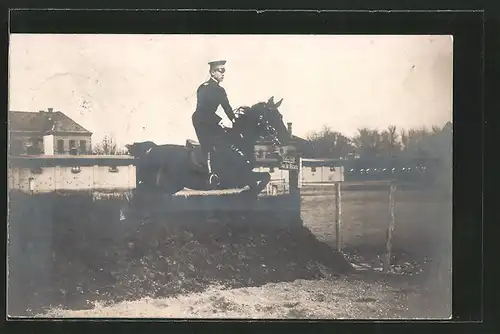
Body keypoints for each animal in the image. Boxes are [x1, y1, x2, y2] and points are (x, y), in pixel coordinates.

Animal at [124, 95, 290, 197]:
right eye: (273, 117)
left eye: (281, 116)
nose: (286, 138)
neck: (238, 144)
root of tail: (150, 149)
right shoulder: (237, 176)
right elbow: (262, 179)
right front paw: (248, 194)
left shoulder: (245, 175)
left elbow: (265, 177)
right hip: (151, 187)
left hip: (167, 188)